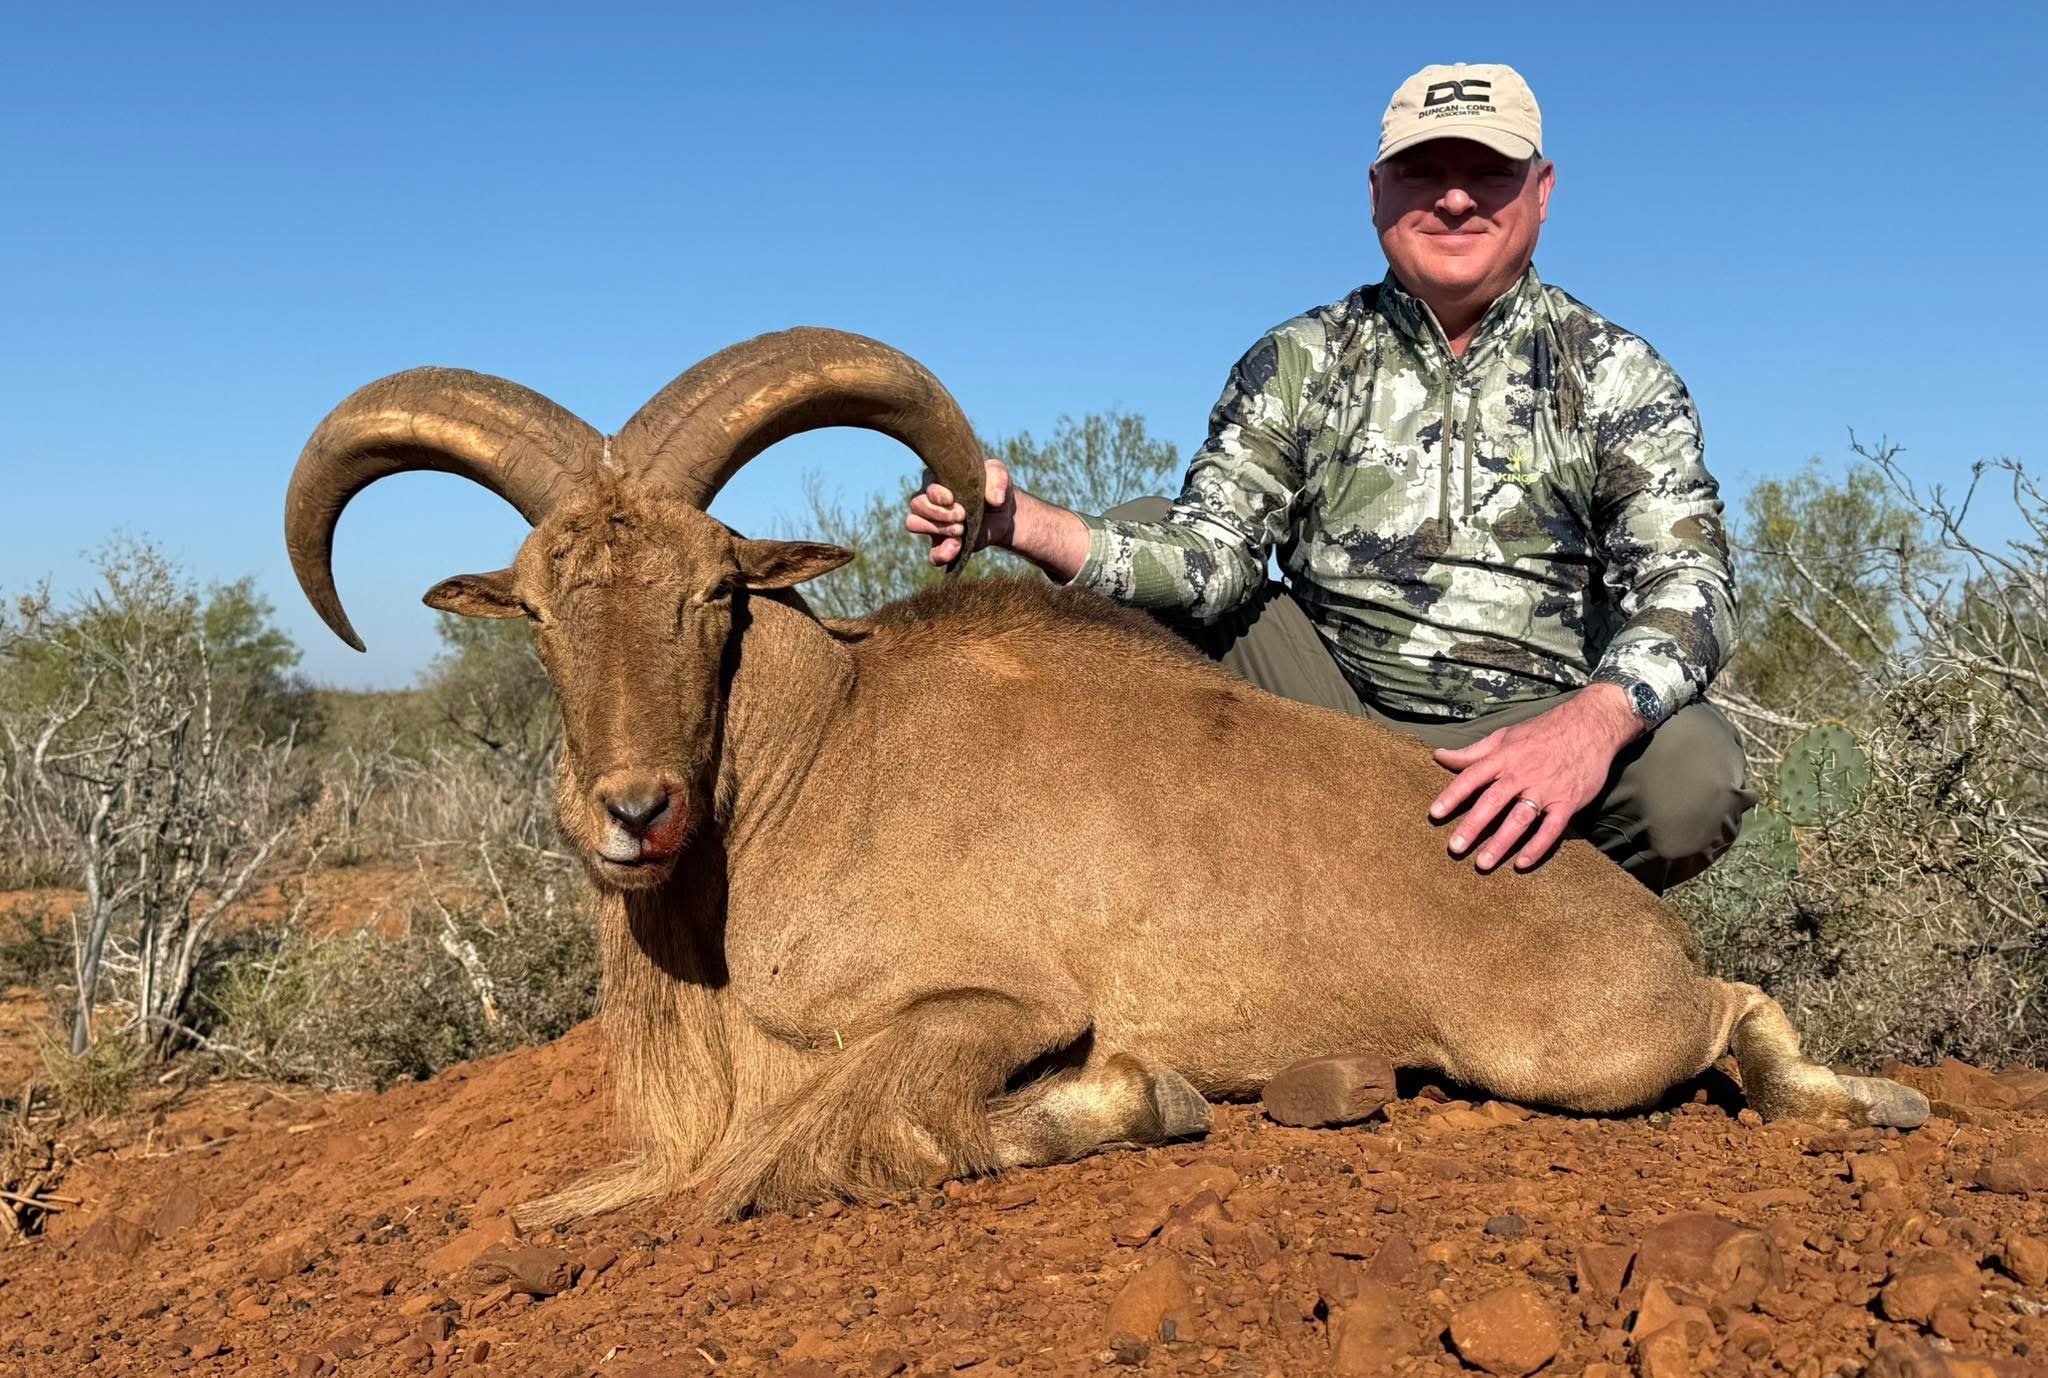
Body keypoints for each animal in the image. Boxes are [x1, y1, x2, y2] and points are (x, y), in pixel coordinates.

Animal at [283, 328, 1928, 1224]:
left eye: (714, 590)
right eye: (539, 607)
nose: (633, 813)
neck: (812, 765)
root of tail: (1635, 921)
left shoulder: (990, 1005)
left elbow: (878, 1138)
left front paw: (1145, 1096)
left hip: (1581, 1045)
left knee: (1737, 1009)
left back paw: (1869, 1098)